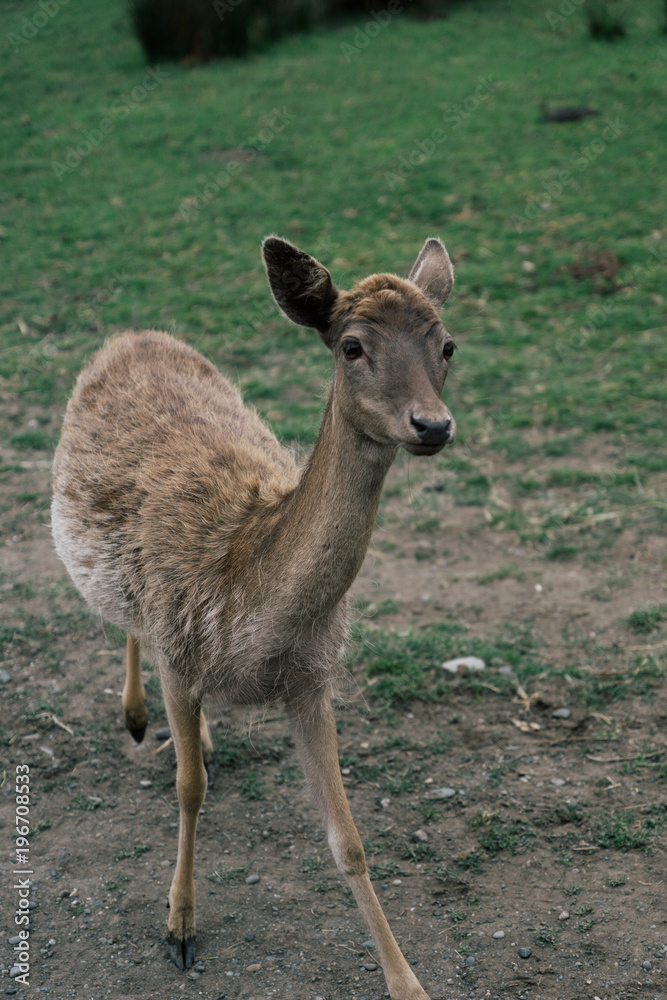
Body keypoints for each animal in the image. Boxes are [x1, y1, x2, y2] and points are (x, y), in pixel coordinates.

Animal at [51, 235, 457, 1000]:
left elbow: (348, 838)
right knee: (128, 623)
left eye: (447, 343)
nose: (433, 425)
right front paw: (179, 928)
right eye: (351, 345)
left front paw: (409, 982)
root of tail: (133, 334)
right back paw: (136, 715)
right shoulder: (181, 654)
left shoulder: (313, 681)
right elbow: (188, 790)